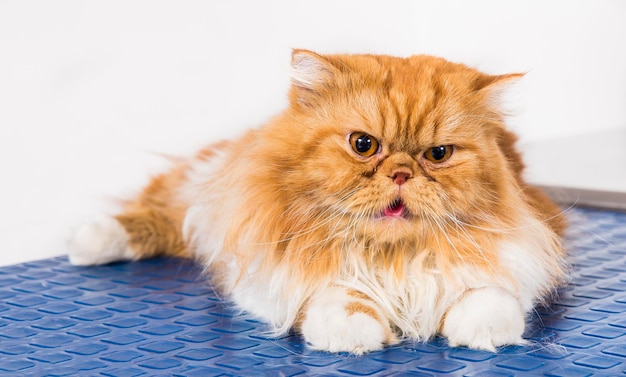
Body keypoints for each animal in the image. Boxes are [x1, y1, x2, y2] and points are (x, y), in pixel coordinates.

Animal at [69, 49, 564, 352]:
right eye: (364, 145)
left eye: (438, 155)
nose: (401, 173)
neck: (392, 257)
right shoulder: (261, 271)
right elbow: (336, 291)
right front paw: (354, 332)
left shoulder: (529, 244)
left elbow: (489, 295)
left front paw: (481, 333)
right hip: (203, 190)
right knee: (160, 212)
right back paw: (88, 242)